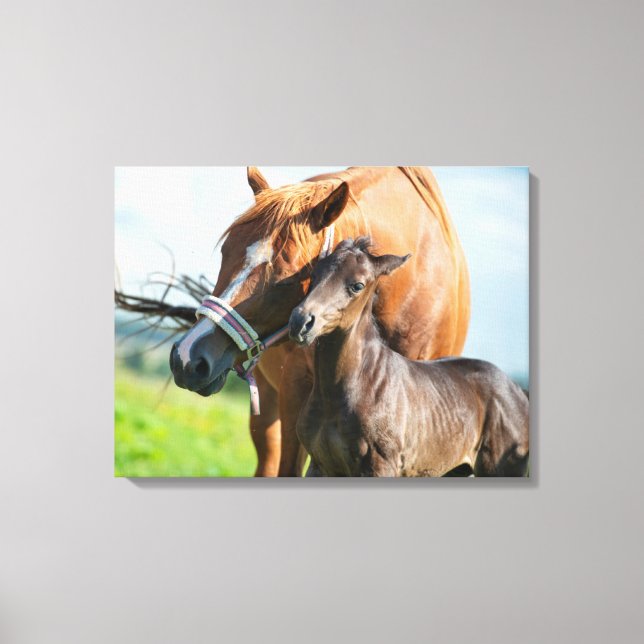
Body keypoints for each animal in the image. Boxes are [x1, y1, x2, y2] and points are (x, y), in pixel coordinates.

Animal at [289, 238, 529, 477]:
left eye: (358, 285)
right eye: (314, 274)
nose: (300, 322)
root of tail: (519, 391)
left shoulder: (381, 465)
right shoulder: (320, 466)